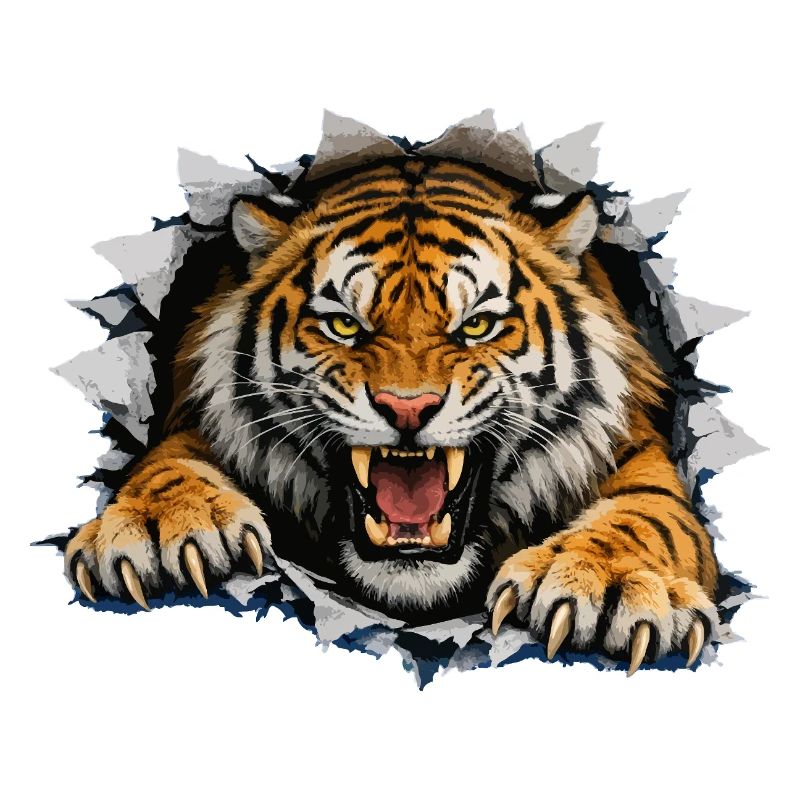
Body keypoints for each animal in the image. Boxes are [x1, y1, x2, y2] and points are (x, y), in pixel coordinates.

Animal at [65, 156, 719, 674]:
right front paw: (160, 527)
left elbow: (649, 512)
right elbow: (168, 461)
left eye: (476, 326)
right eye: (343, 325)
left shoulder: (636, 446)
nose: (408, 407)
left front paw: (605, 585)